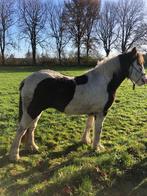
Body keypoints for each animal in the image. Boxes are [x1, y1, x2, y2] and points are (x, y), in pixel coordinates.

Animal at [9, 47, 147, 161]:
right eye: (138, 64)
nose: (144, 80)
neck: (104, 81)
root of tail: (26, 80)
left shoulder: (92, 112)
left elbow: (89, 126)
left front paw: (86, 141)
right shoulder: (101, 112)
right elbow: (98, 130)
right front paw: (97, 148)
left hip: (36, 111)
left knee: (31, 128)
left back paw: (32, 147)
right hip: (33, 110)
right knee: (22, 129)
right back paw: (15, 156)